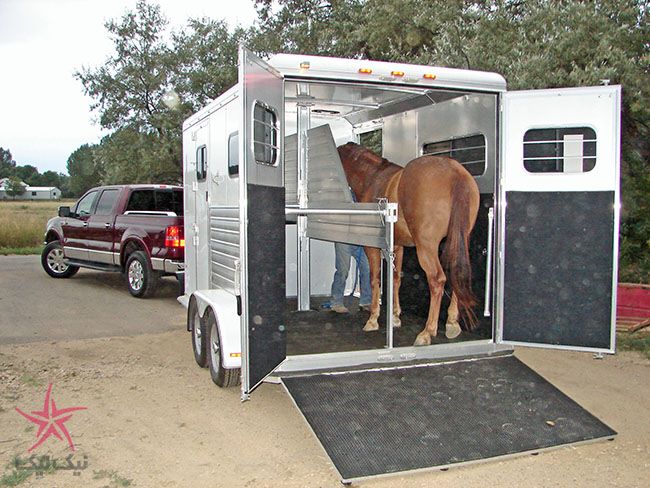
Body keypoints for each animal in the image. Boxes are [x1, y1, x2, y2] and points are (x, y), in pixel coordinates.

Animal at [336, 142, 478, 346]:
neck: (373, 178)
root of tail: (455, 172)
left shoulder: (373, 247)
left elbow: (374, 279)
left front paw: (373, 319)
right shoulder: (398, 246)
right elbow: (396, 278)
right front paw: (395, 316)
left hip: (426, 247)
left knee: (437, 280)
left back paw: (427, 332)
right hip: (456, 241)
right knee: (456, 272)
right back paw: (452, 322)